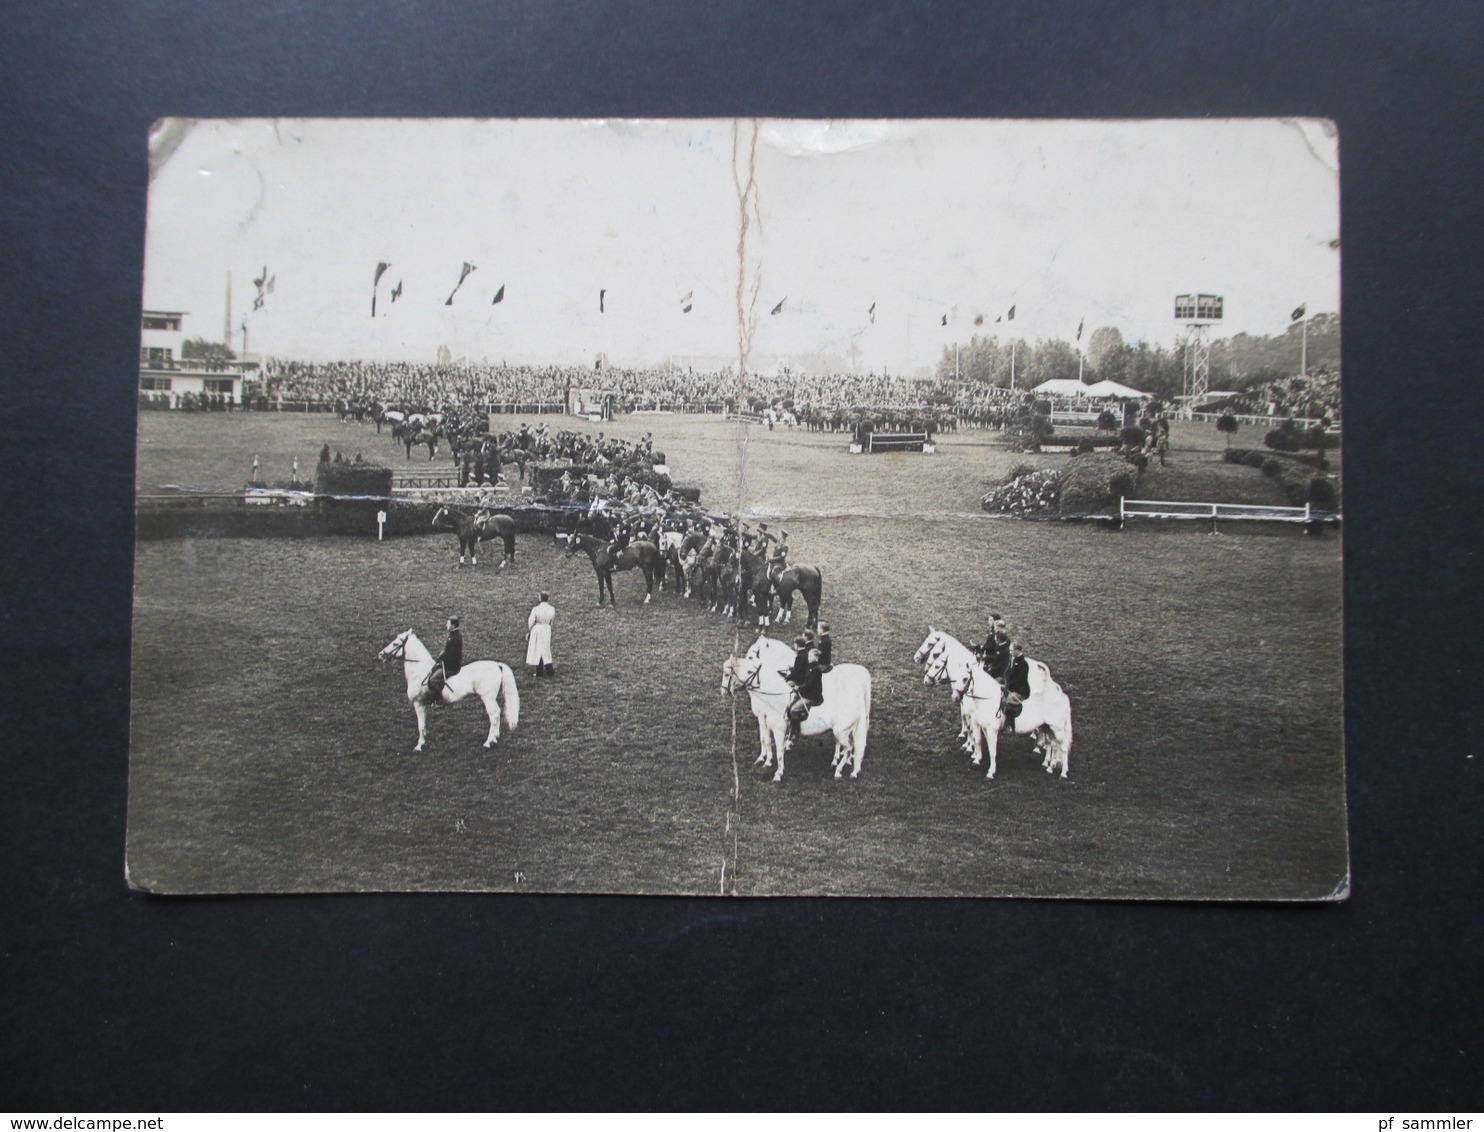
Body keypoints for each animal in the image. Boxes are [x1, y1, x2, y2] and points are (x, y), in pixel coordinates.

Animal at [376, 629, 522, 753]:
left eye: (395, 643)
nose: (381, 655)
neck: (420, 671)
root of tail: (497, 665)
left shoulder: (418, 703)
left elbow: (420, 725)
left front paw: (419, 745)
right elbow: (423, 724)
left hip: (487, 697)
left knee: (494, 715)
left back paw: (488, 742)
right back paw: (495, 738)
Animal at [718, 632, 866, 783]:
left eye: (751, 657)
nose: (724, 692)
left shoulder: (771, 723)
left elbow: (774, 746)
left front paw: (776, 771)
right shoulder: (765, 718)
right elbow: (766, 739)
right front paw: (766, 760)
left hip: (841, 731)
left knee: (849, 747)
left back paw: (839, 769)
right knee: (849, 745)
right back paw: (844, 763)